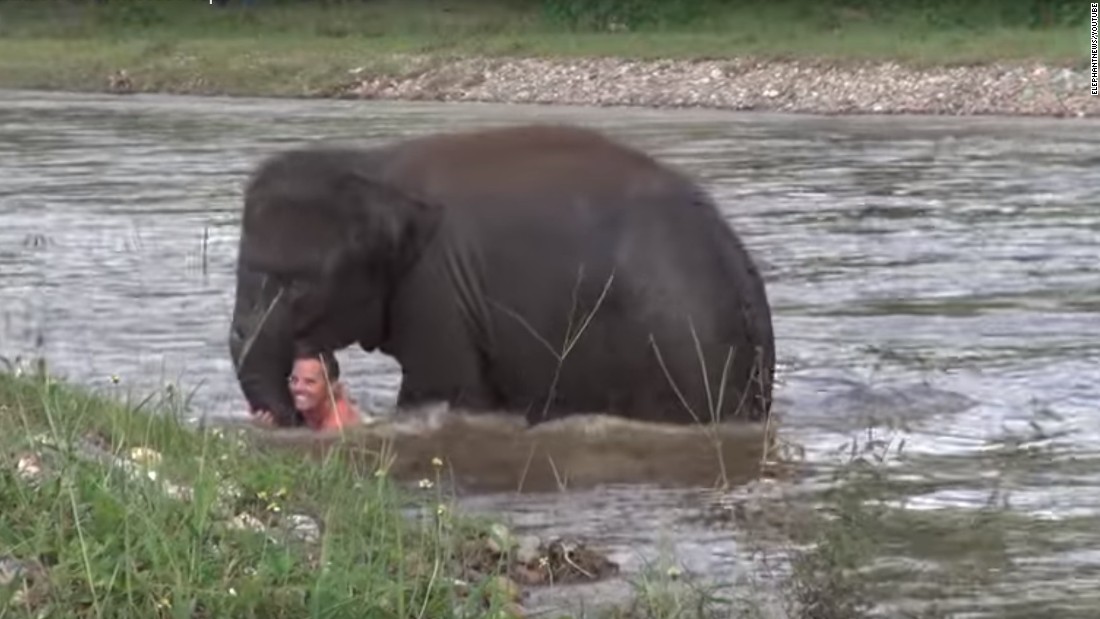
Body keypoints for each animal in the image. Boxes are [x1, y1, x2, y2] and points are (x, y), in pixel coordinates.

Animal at [225, 123, 774, 428]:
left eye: (296, 285)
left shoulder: (437, 292)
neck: (372, 164)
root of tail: (741, 273)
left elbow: (438, 391)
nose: (291, 413)